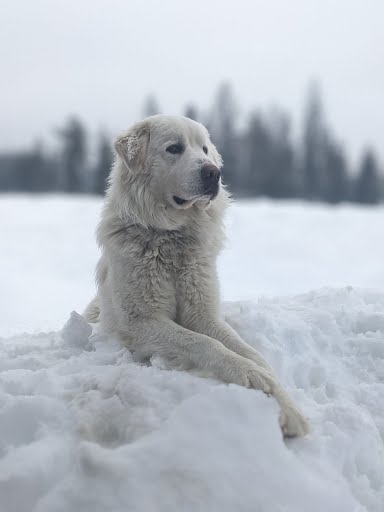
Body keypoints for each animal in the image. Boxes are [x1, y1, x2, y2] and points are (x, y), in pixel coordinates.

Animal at [85, 115, 308, 436]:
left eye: (204, 149)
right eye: (174, 148)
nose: (214, 172)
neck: (170, 237)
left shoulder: (203, 312)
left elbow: (248, 350)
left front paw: (287, 405)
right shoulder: (140, 322)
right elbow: (203, 343)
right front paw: (249, 374)